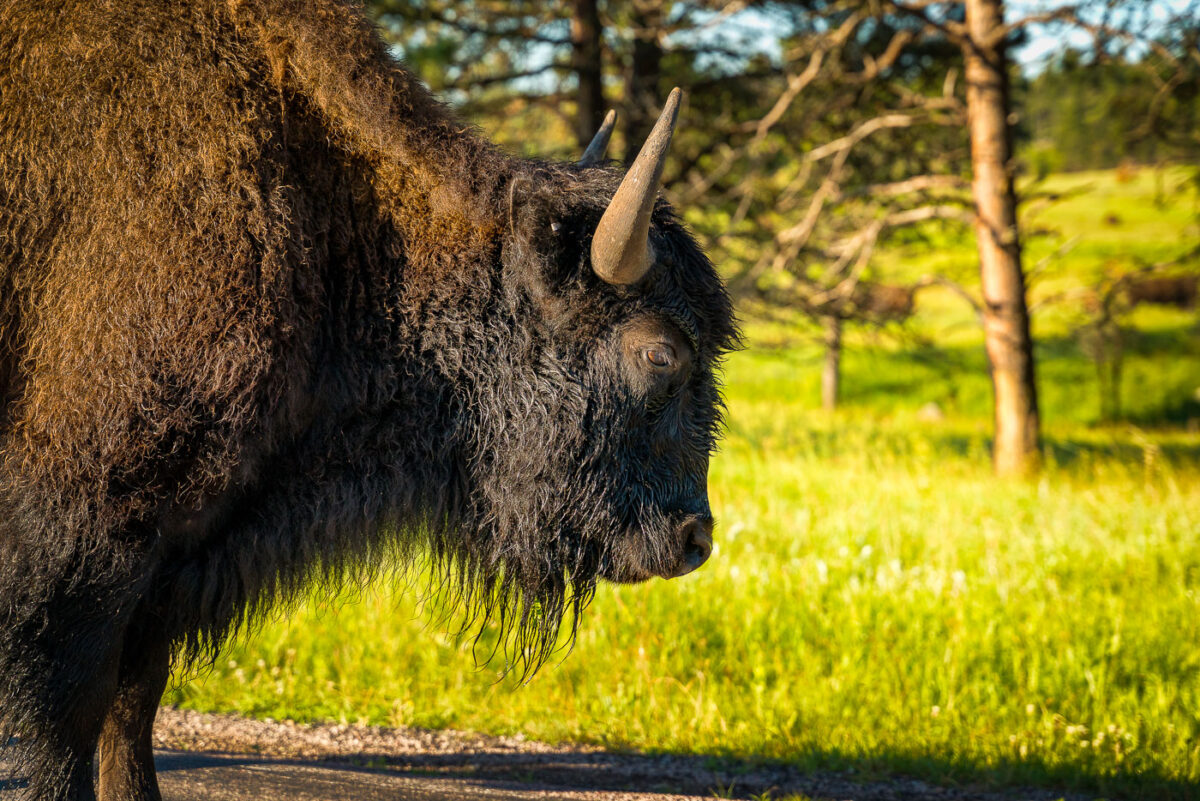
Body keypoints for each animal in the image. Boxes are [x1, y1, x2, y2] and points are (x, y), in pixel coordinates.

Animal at [0, 1, 739, 801]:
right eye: (660, 352)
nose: (694, 539)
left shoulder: (178, 549)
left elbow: (134, 700)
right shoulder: (88, 527)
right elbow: (75, 711)